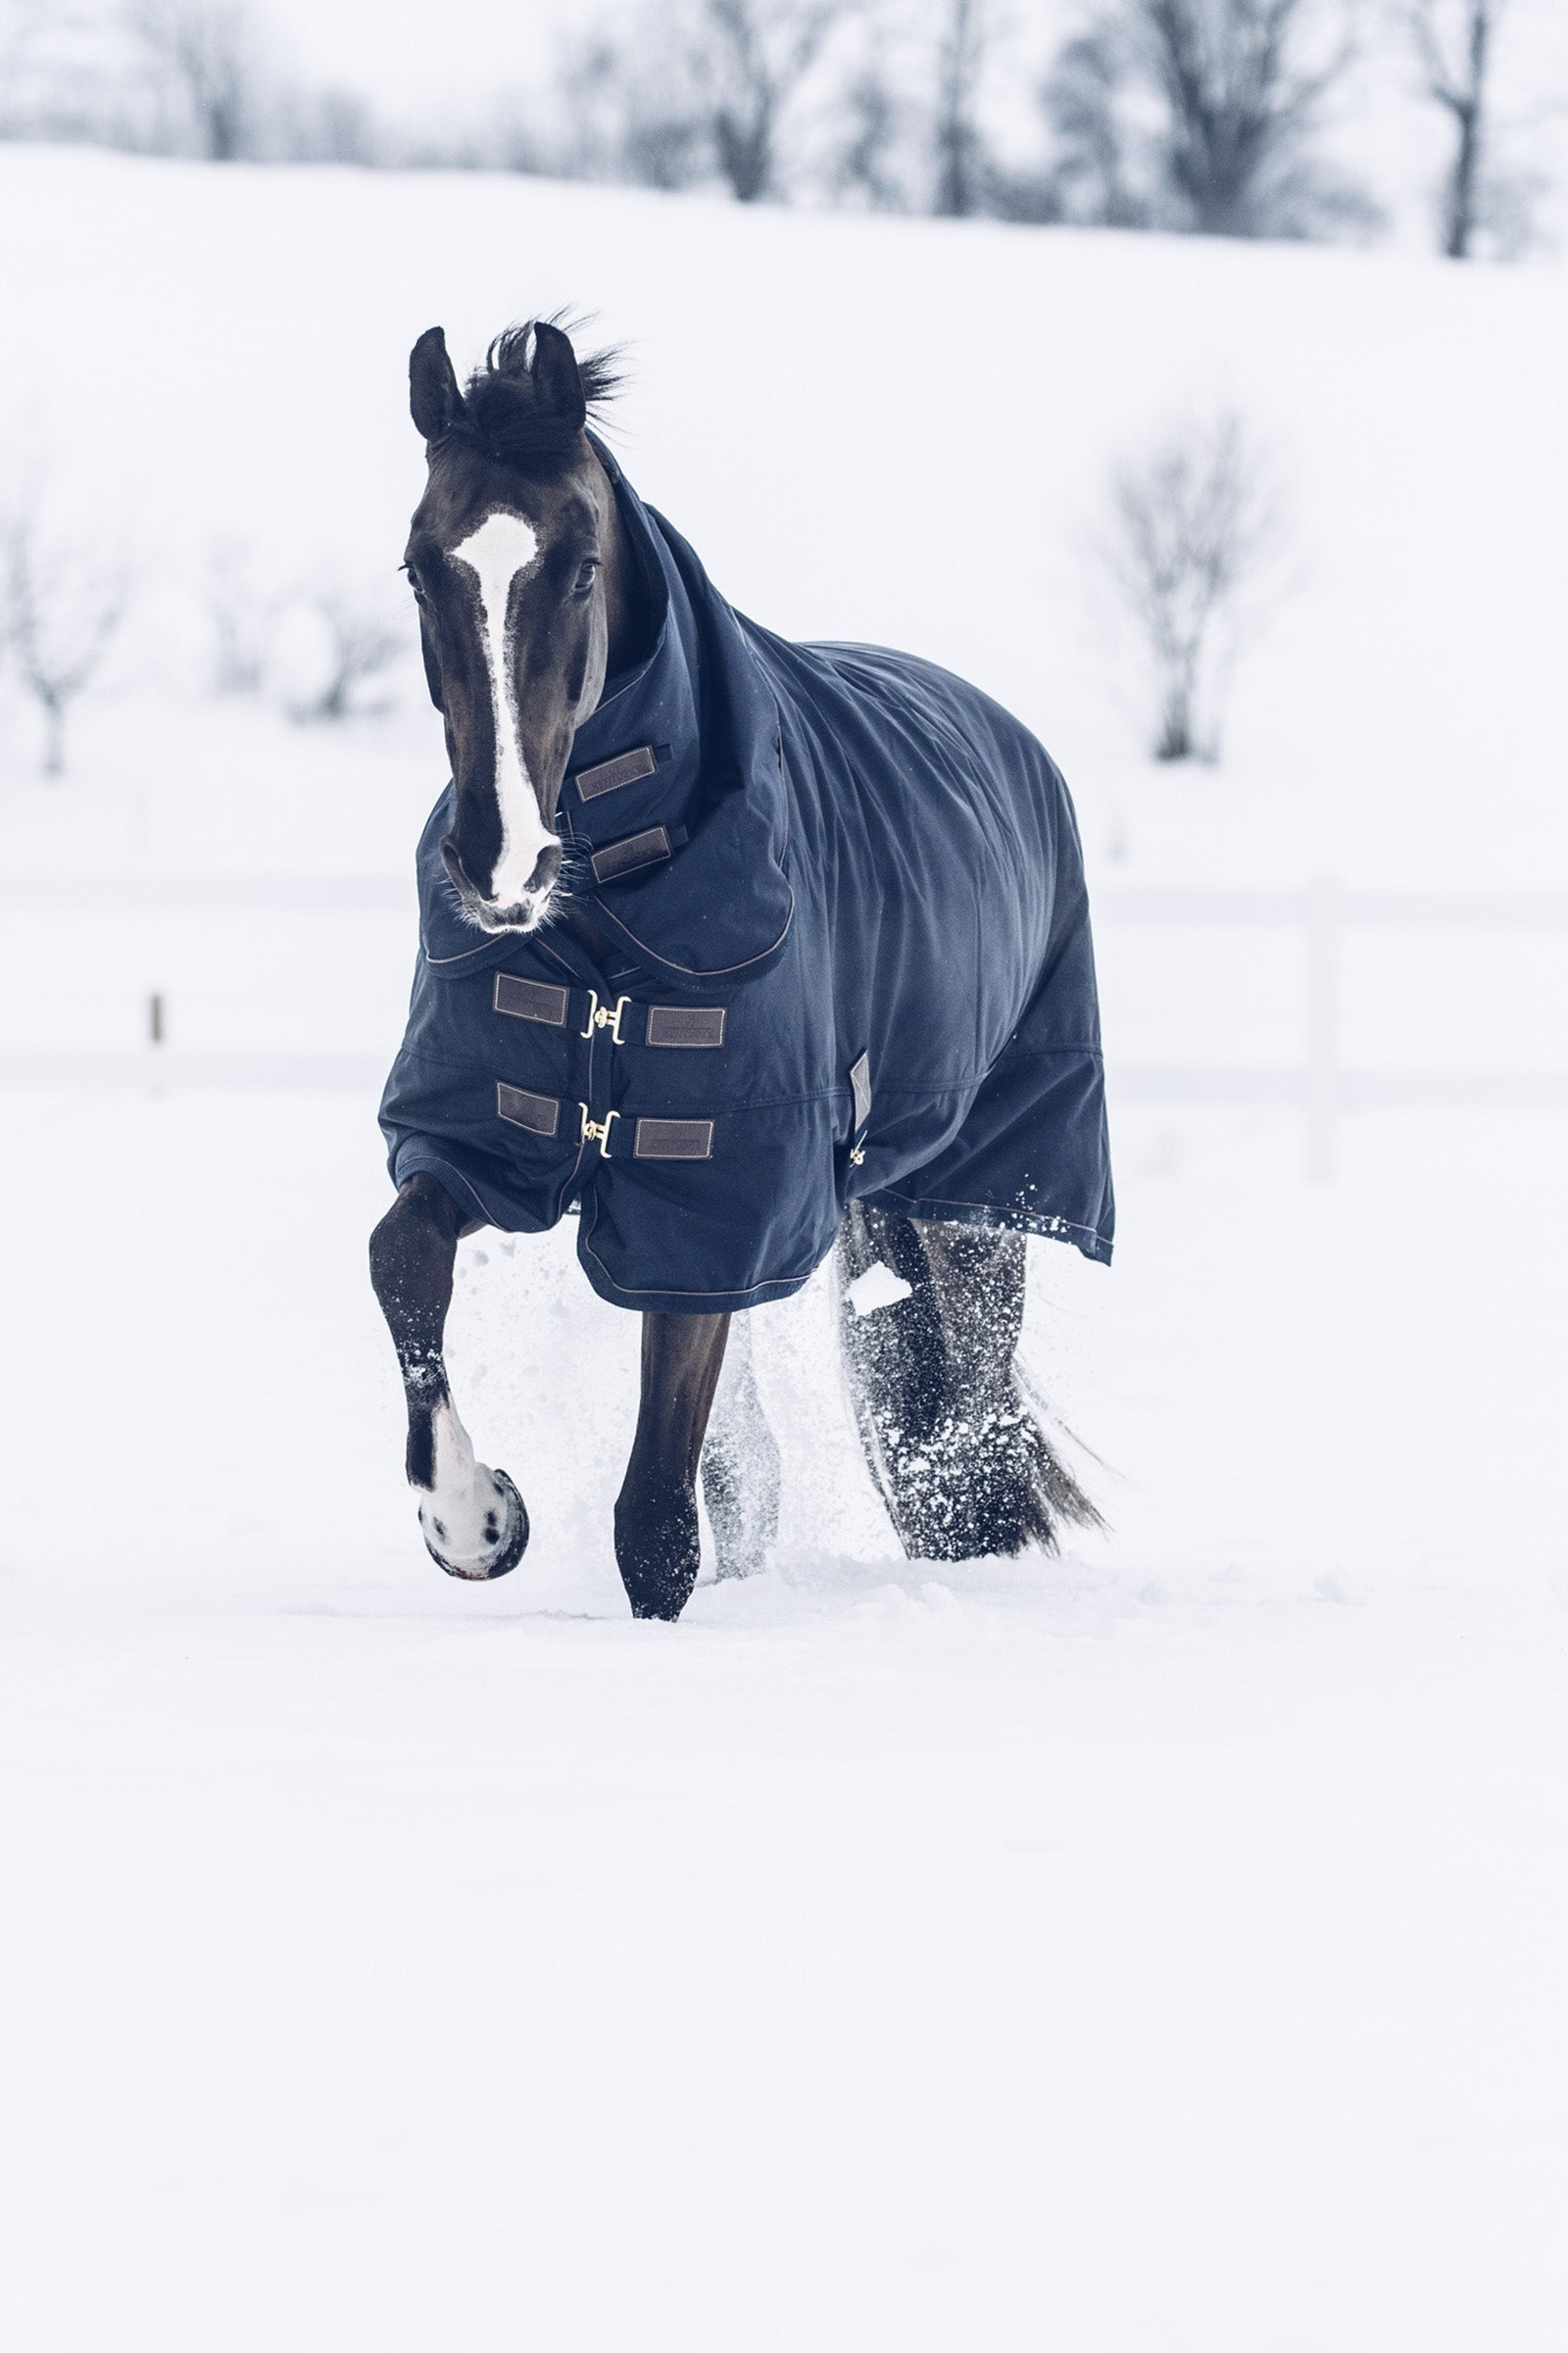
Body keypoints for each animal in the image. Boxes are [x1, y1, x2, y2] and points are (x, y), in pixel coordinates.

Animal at [370, 317, 1113, 1621]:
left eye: (576, 567)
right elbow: (401, 1256)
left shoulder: (714, 1214)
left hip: (983, 1203)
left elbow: (658, 1519)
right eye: (420, 566)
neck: (614, 906)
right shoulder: (490, 1139)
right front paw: (474, 1520)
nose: (496, 860)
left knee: (965, 1440)